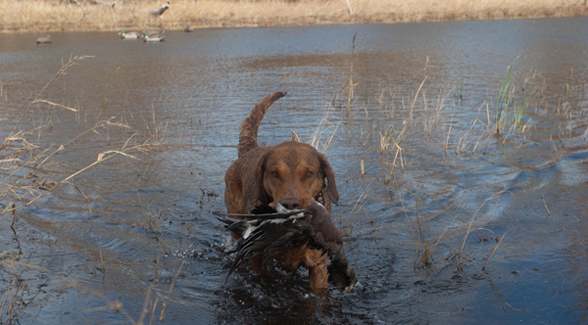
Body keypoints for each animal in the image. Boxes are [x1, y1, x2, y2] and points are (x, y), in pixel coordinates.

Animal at [227, 92, 342, 292]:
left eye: (309, 173)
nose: (290, 204)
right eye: (274, 173)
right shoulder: (257, 259)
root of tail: (251, 150)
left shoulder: (319, 266)